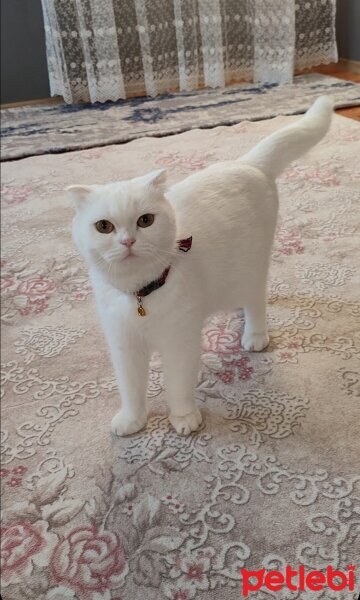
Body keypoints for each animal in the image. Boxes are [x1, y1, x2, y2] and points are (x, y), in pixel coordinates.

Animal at [69, 97, 334, 436]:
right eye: (104, 226)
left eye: (145, 220)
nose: (128, 241)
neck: (140, 295)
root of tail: (246, 163)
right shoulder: (124, 346)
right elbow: (131, 389)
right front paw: (132, 420)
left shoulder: (180, 342)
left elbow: (179, 385)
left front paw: (183, 418)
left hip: (252, 268)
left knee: (256, 302)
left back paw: (254, 335)